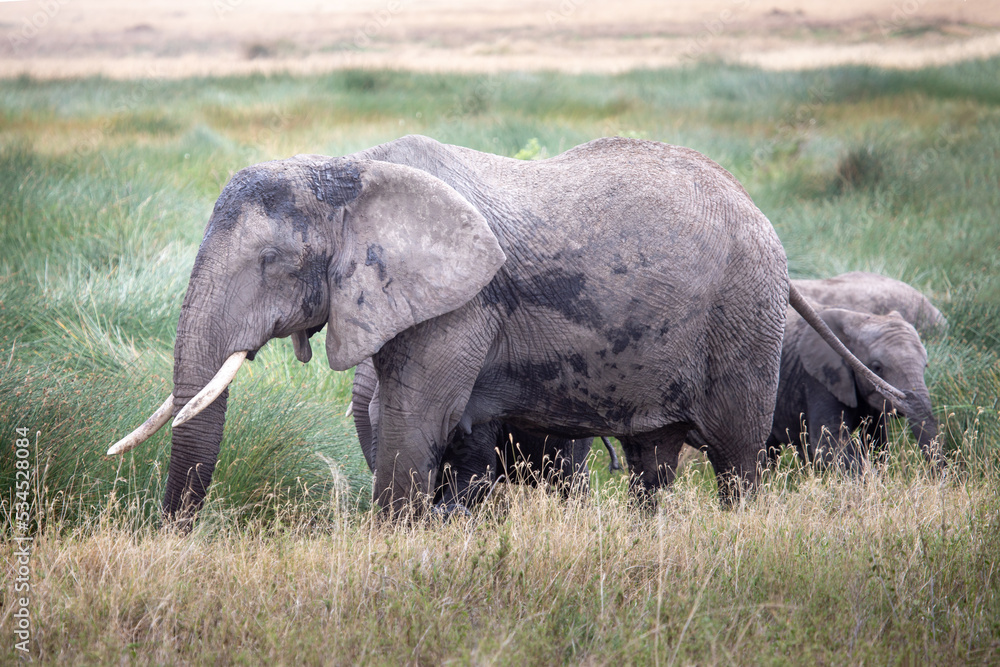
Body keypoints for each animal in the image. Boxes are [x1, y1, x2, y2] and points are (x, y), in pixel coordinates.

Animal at [108, 134, 909, 523]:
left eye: (273, 262)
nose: (176, 544)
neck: (346, 169)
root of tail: (755, 208)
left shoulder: (465, 301)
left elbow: (413, 422)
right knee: (652, 463)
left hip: (744, 312)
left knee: (736, 457)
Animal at [767, 305, 941, 470]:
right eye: (877, 367)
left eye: (925, 366)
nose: (908, 395)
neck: (856, 319)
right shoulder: (819, 379)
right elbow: (828, 443)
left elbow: (876, 440)